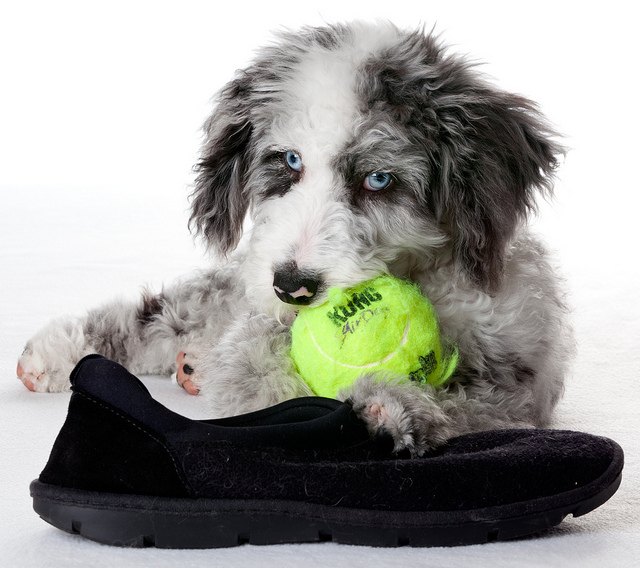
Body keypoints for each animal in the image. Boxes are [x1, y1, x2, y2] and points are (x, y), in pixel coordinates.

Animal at [17, 23, 572, 458]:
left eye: (378, 179)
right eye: (289, 160)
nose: (292, 286)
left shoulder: (515, 378)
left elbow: (468, 407)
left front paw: (393, 409)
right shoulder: (258, 325)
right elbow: (261, 380)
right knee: (168, 314)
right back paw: (53, 356)